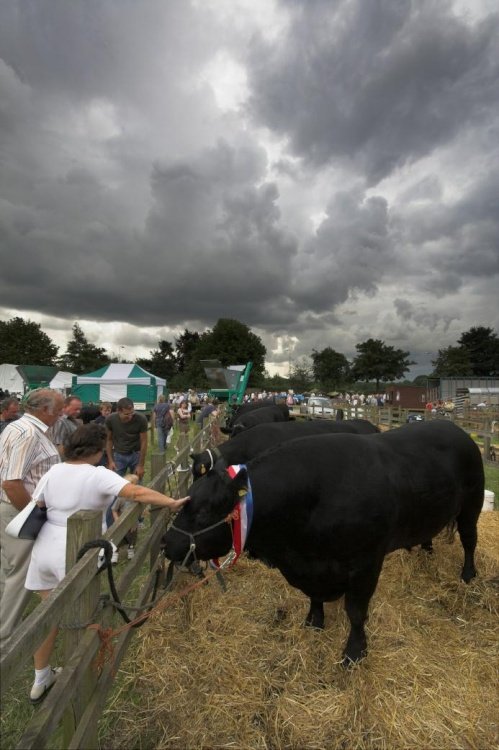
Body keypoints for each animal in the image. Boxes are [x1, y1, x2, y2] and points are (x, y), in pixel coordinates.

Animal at [164, 426, 484, 668]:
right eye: (187, 499)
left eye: (204, 513)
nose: (167, 545)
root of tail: (457, 430)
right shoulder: (310, 565)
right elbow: (314, 597)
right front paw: (314, 621)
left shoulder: (367, 562)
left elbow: (356, 612)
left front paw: (354, 652)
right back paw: (425, 549)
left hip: (472, 506)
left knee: (469, 540)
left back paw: (468, 575)